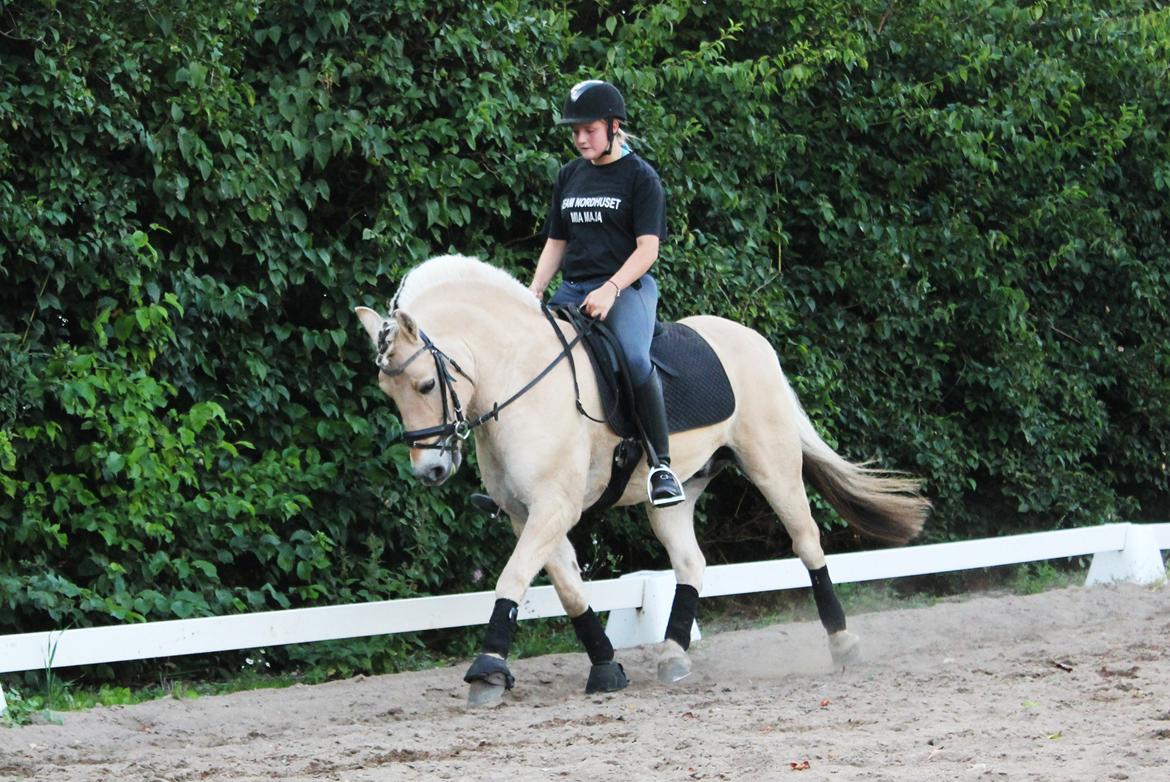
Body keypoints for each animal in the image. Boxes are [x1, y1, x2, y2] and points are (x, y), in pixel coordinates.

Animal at [355, 253, 930, 706]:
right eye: (388, 392)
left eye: (425, 384)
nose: (429, 471)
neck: (519, 376)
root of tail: (752, 341)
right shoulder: (527, 513)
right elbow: (567, 588)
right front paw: (606, 667)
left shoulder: (554, 506)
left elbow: (511, 578)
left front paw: (487, 671)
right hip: (676, 493)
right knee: (691, 562)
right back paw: (673, 654)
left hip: (773, 466)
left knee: (807, 543)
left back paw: (843, 644)